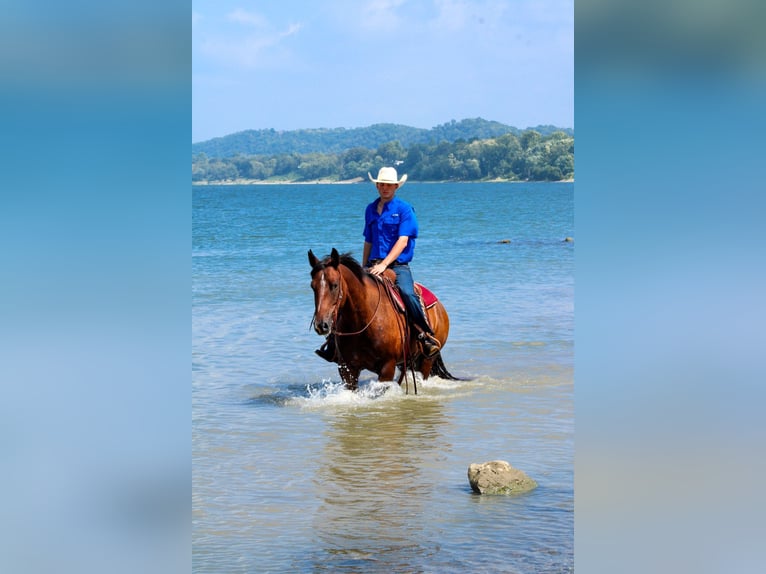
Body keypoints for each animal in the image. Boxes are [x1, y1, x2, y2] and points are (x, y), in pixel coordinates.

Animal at [308, 246, 460, 392]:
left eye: (334, 285)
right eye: (312, 287)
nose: (321, 325)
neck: (362, 320)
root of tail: (440, 308)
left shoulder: (387, 367)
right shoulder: (347, 369)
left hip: (426, 360)